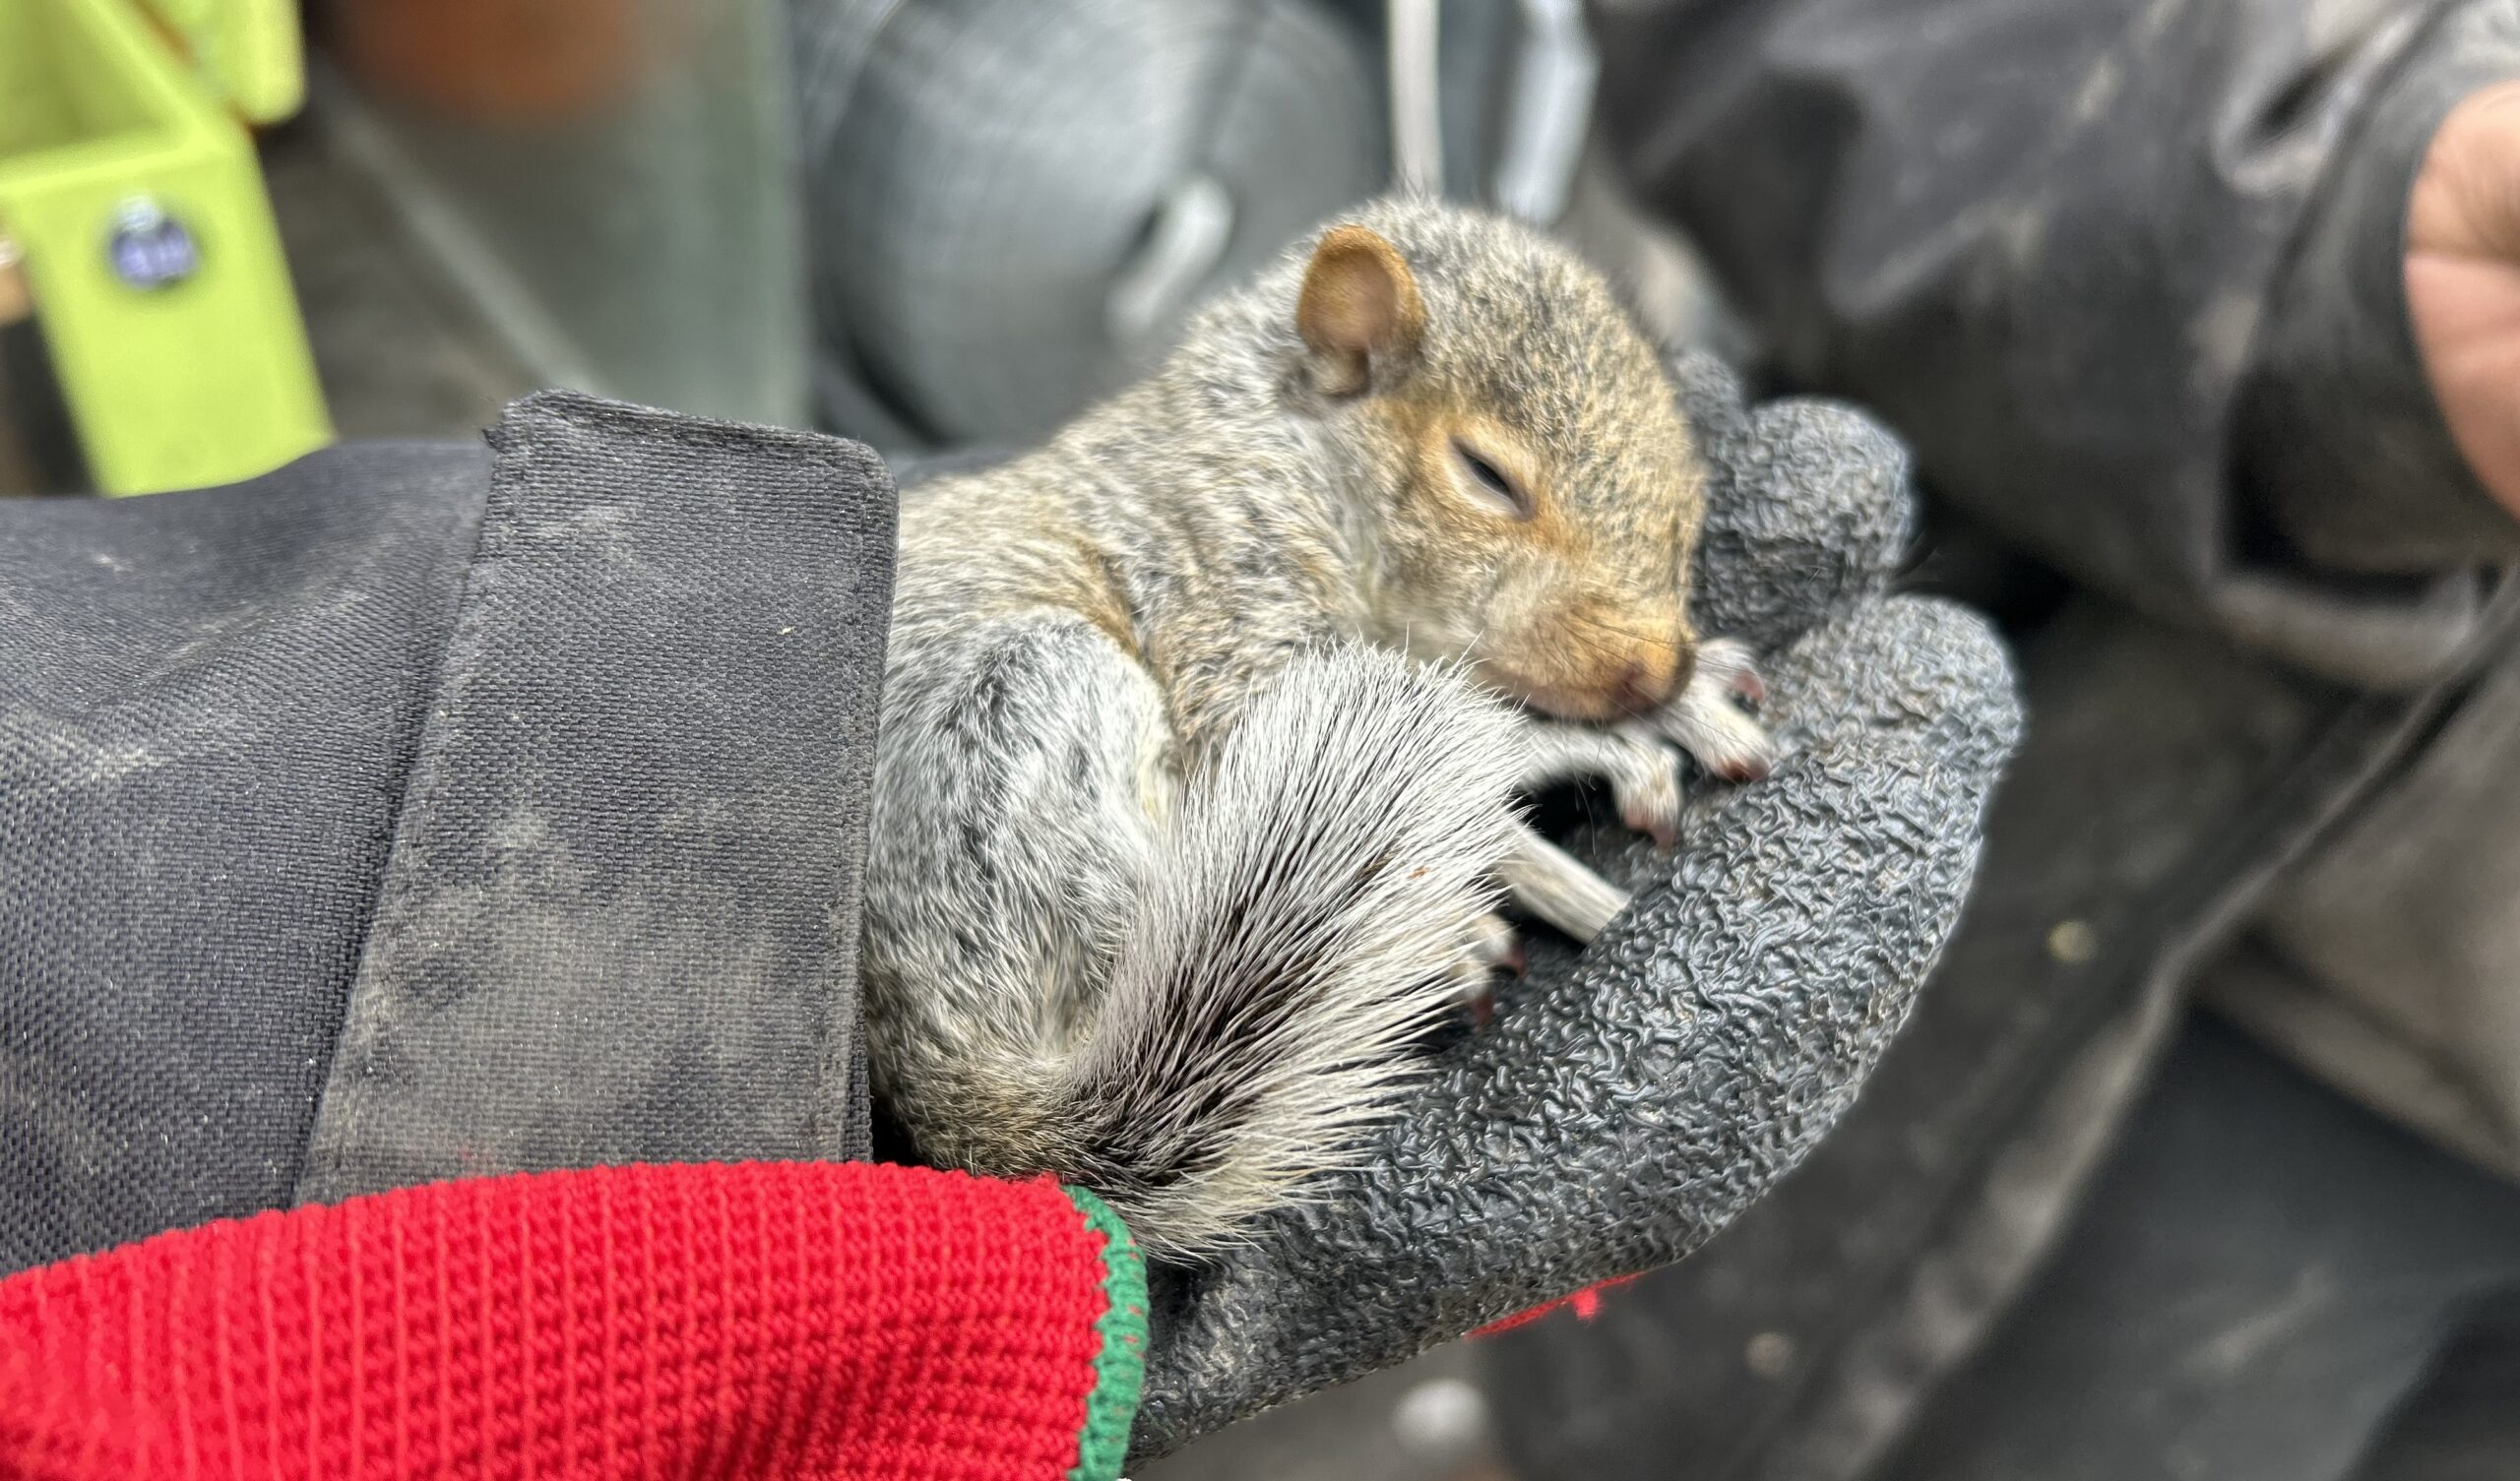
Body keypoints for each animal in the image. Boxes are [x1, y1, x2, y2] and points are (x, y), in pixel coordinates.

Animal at [861, 198, 1776, 1260]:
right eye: (1485, 474)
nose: (1658, 663)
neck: (1289, 446)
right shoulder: (1220, 596)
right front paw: (1603, 744)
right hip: (1020, 713)